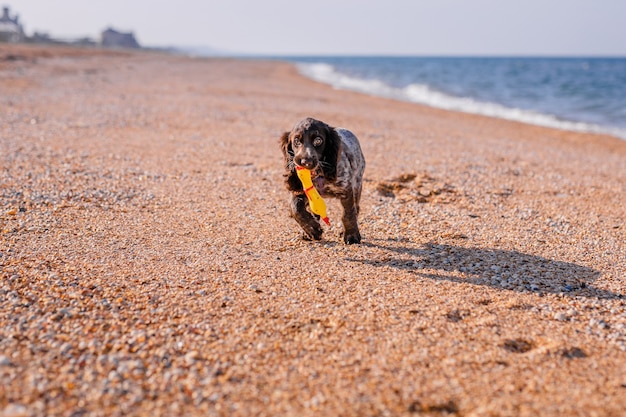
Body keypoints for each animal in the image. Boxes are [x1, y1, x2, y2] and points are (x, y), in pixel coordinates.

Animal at [280, 116, 364, 244]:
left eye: (318, 140)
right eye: (296, 141)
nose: (306, 162)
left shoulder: (346, 190)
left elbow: (348, 213)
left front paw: (351, 236)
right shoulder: (301, 191)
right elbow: (295, 208)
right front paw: (312, 230)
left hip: (357, 185)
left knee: (356, 208)